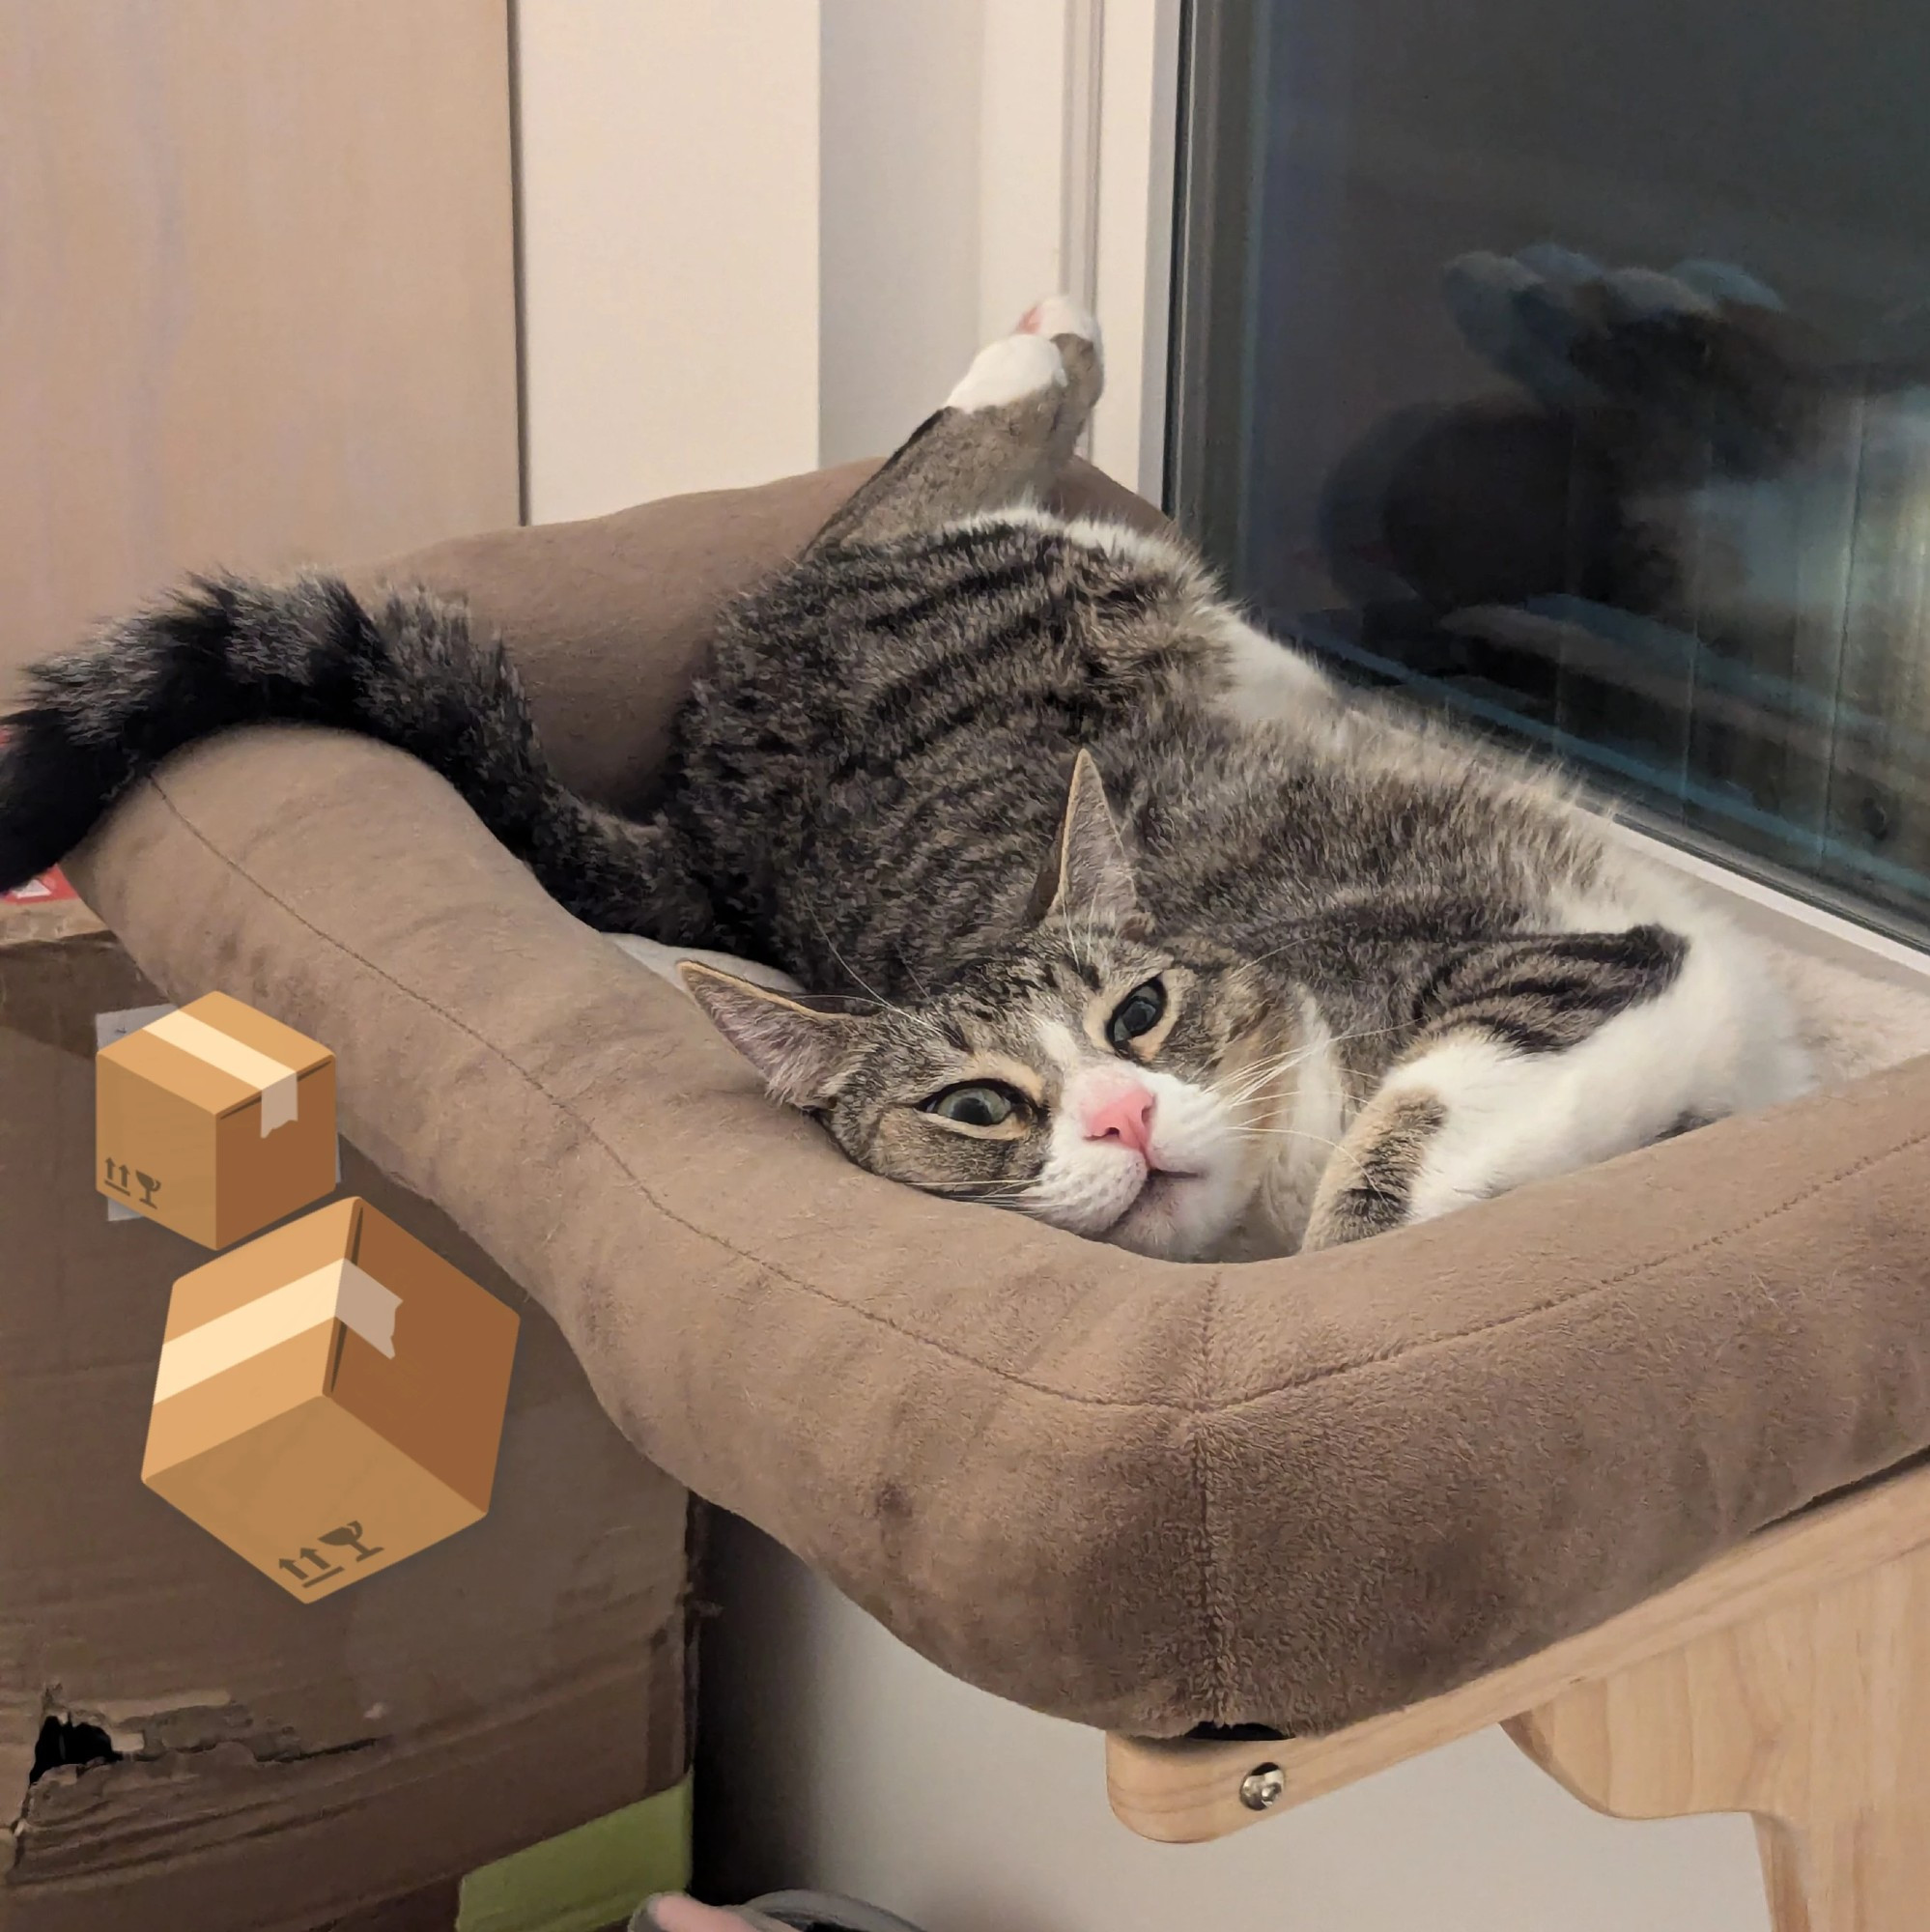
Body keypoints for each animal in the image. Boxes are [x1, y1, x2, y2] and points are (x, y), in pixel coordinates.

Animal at [0, 298, 1808, 1267]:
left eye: (1139, 1016)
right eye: (979, 1112)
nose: (1120, 1114)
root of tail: (710, 808)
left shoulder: (1538, 959)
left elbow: (1395, 1141)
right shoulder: (1545, 968)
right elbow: (1386, 1181)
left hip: (1080, 596)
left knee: (891, 487)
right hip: (1070, 587)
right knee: (906, 484)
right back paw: (1039, 344)